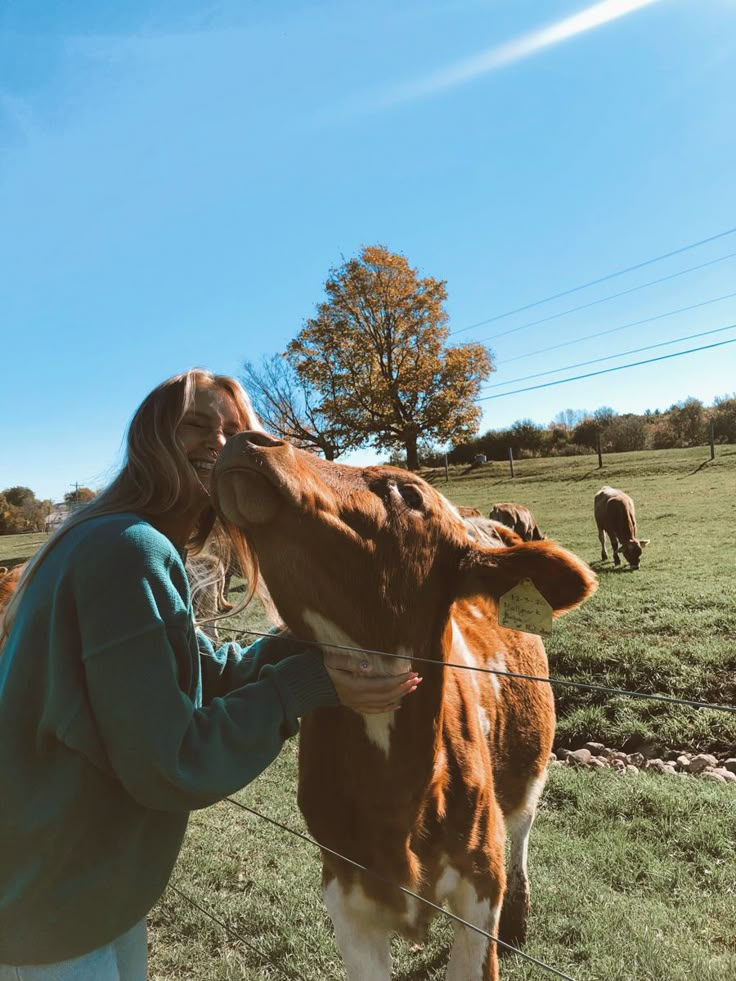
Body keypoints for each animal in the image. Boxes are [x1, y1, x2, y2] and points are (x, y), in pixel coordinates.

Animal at [214, 434, 600, 980]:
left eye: (408, 493)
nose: (251, 438)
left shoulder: (479, 883)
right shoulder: (345, 895)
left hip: (530, 765)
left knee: (521, 829)